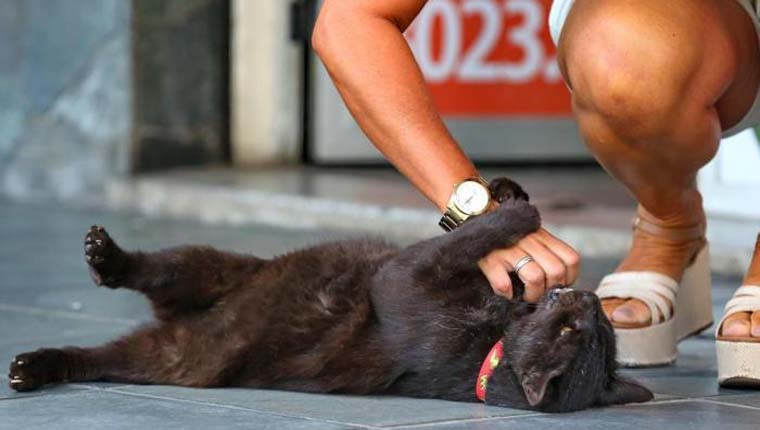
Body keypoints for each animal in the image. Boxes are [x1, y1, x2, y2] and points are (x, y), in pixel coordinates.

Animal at [7, 178, 652, 414]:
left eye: (576, 334)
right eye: (599, 331)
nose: (586, 302)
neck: (488, 356)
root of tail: (176, 325)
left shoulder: (404, 279)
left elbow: (464, 240)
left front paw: (520, 214)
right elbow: (484, 242)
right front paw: (508, 194)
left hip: (173, 347)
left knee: (97, 354)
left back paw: (37, 360)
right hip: (209, 267)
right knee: (145, 278)